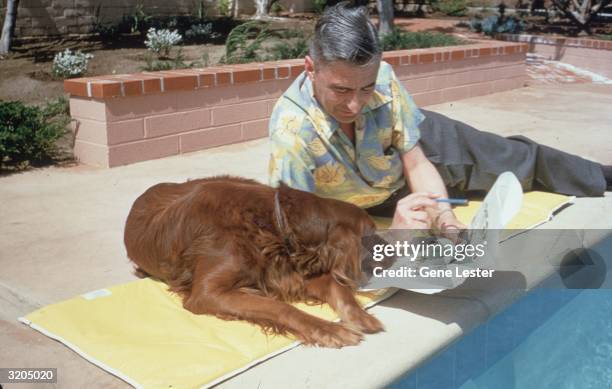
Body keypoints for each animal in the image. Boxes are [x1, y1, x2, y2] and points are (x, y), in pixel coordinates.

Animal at [122, 175, 384, 346]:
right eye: (372, 233)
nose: (392, 253)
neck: (275, 220)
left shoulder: (289, 271)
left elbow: (335, 286)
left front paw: (360, 316)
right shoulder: (206, 293)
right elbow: (279, 307)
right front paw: (329, 330)